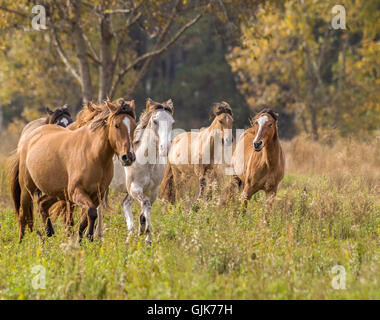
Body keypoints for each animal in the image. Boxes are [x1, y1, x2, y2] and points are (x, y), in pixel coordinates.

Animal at [7, 99, 137, 241]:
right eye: (116, 125)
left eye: (134, 126)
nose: (128, 157)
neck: (92, 154)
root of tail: (28, 138)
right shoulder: (76, 192)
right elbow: (90, 213)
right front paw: (83, 237)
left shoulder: (97, 194)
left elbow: (87, 217)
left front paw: (84, 238)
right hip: (27, 189)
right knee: (22, 214)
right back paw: (22, 241)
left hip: (57, 192)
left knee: (42, 204)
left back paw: (49, 235)